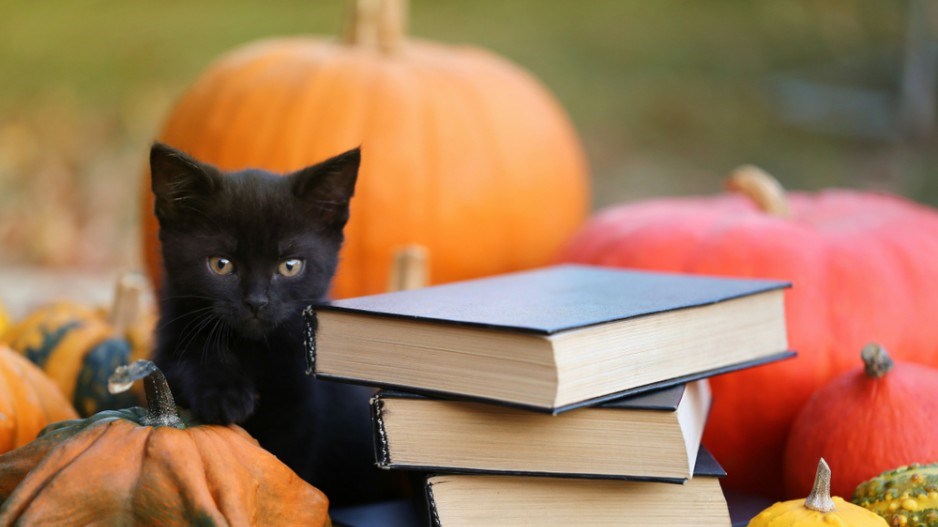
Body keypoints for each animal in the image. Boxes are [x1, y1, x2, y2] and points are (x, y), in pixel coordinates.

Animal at [149, 143, 402, 508]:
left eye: (290, 266)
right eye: (221, 264)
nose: (257, 302)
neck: (253, 351)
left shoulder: (302, 405)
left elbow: (287, 463)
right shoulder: (170, 344)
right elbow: (190, 360)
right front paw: (224, 395)